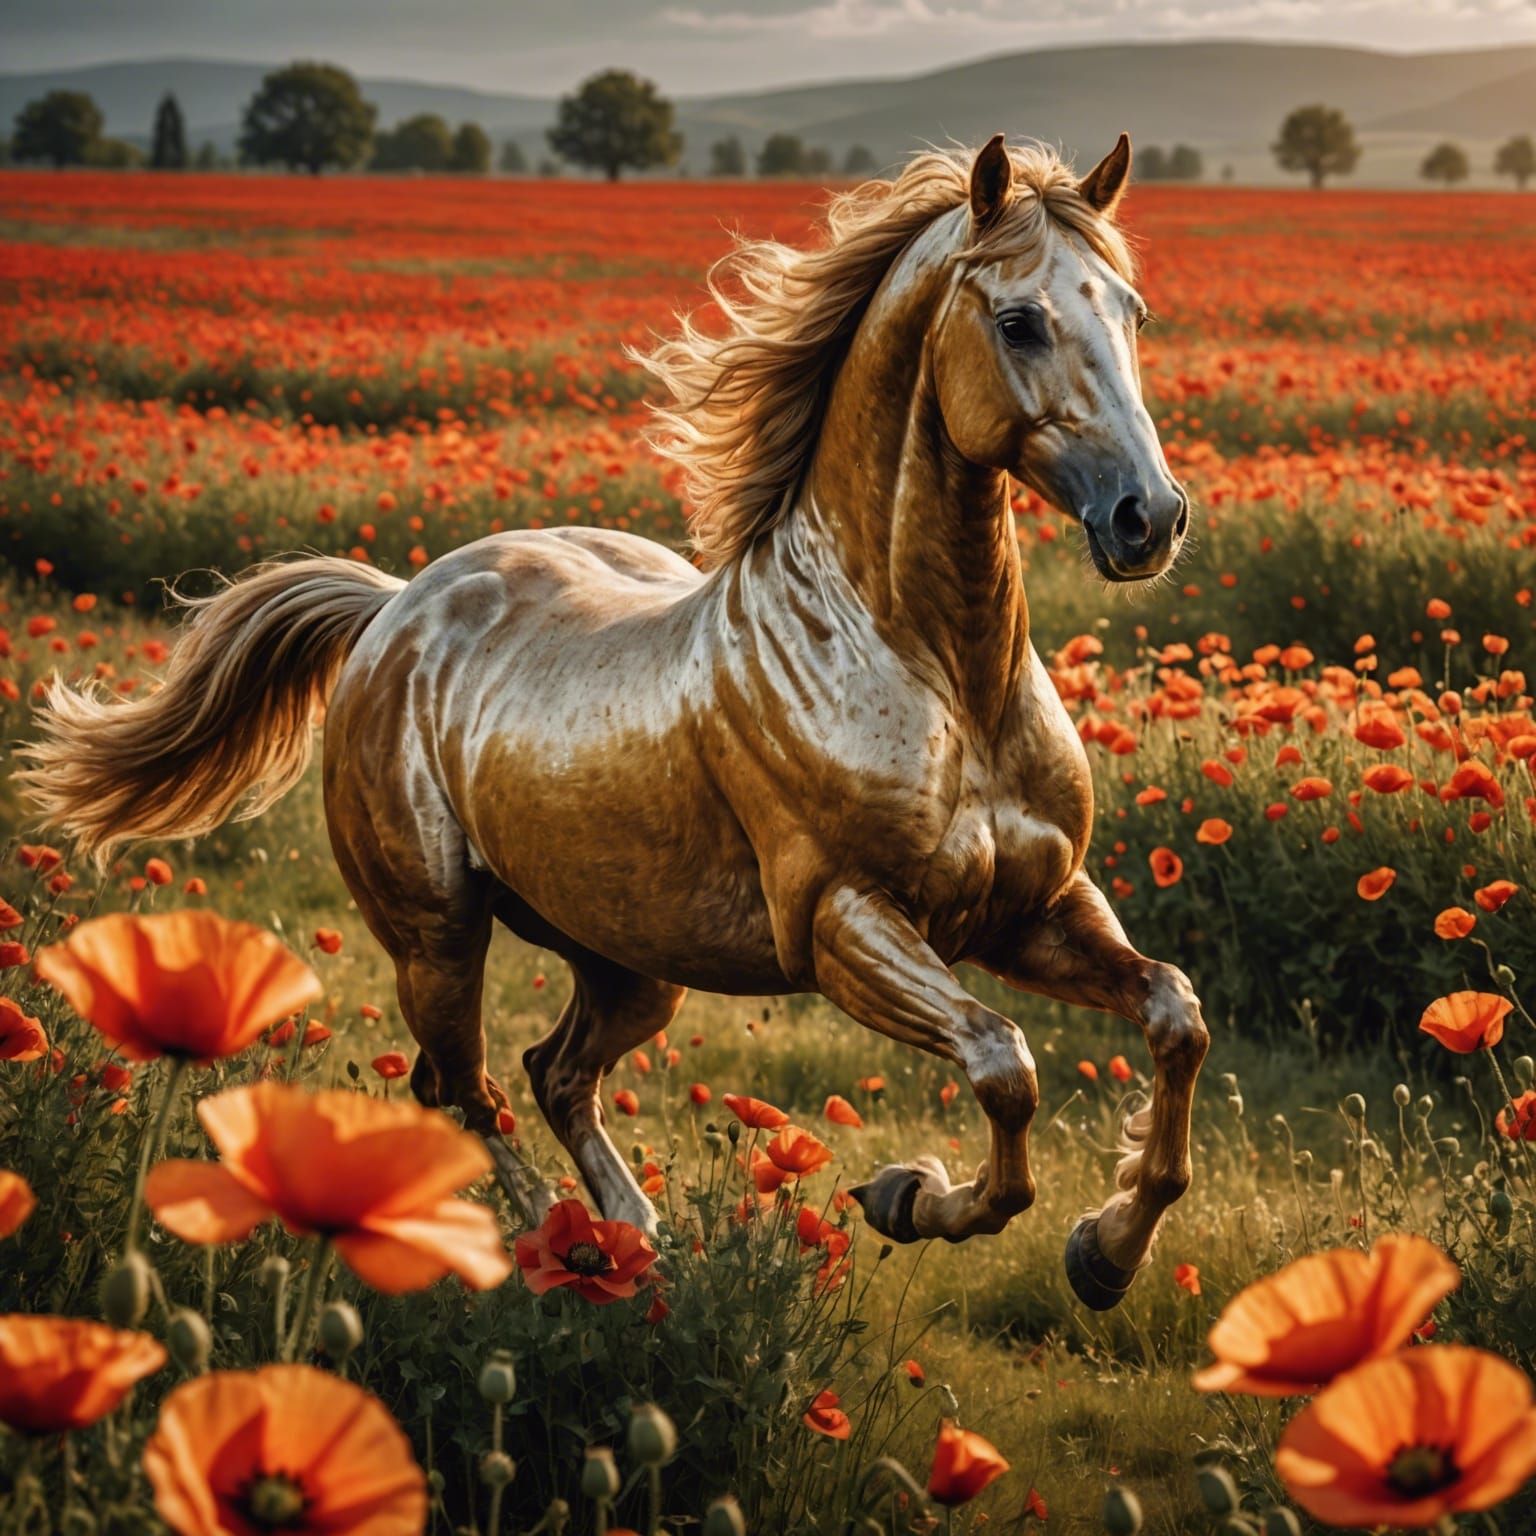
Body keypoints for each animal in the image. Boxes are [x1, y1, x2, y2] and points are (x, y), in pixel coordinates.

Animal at [23, 133, 1208, 1311]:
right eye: (1019, 321)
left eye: (1136, 311)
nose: (1148, 518)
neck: (935, 670)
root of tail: (392, 605)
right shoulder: (843, 923)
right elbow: (1006, 1064)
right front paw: (908, 1196)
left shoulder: (1033, 907)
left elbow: (1172, 1013)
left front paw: (1105, 1252)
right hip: (437, 937)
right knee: (462, 1090)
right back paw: (551, 1249)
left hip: (627, 960)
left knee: (554, 1074)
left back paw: (633, 1240)